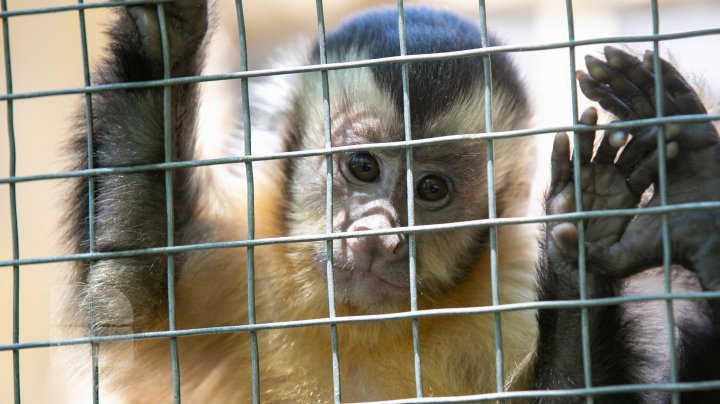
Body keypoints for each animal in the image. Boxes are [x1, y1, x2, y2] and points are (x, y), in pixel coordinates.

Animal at [63, 0, 720, 402]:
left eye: (431, 190)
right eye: (362, 167)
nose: (379, 234)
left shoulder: (506, 305)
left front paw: (587, 233)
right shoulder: (237, 262)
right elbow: (123, 295)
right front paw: (164, 42)